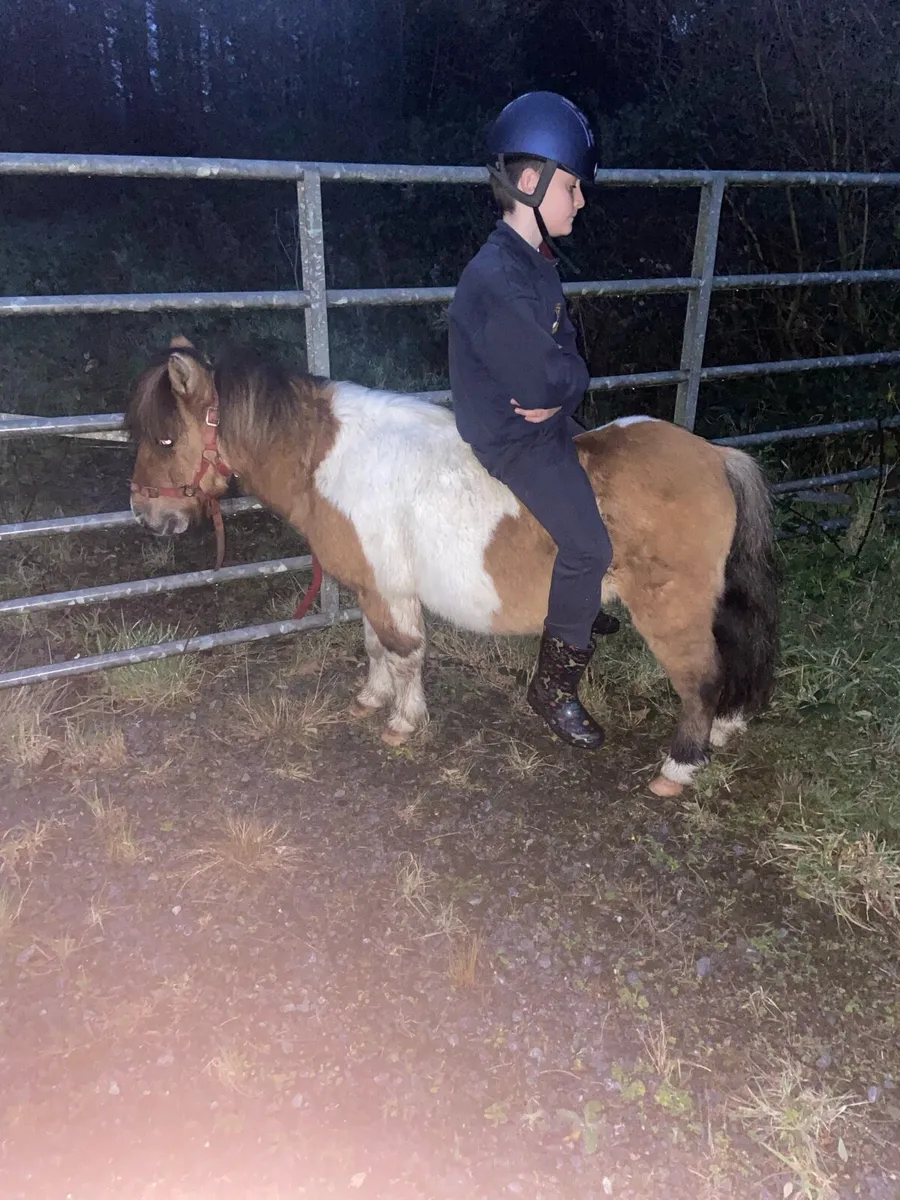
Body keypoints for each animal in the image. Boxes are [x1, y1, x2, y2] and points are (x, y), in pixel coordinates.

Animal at [127, 337, 778, 796]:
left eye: (165, 440)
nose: (146, 515)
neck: (329, 460)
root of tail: (715, 455)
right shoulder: (375, 586)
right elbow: (375, 646)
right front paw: (372, 698)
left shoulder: (388, 589)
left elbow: (405, 652)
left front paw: (403, 721)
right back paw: (722, 730)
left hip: (670, 611)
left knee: (701, 679)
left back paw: (679, 766)